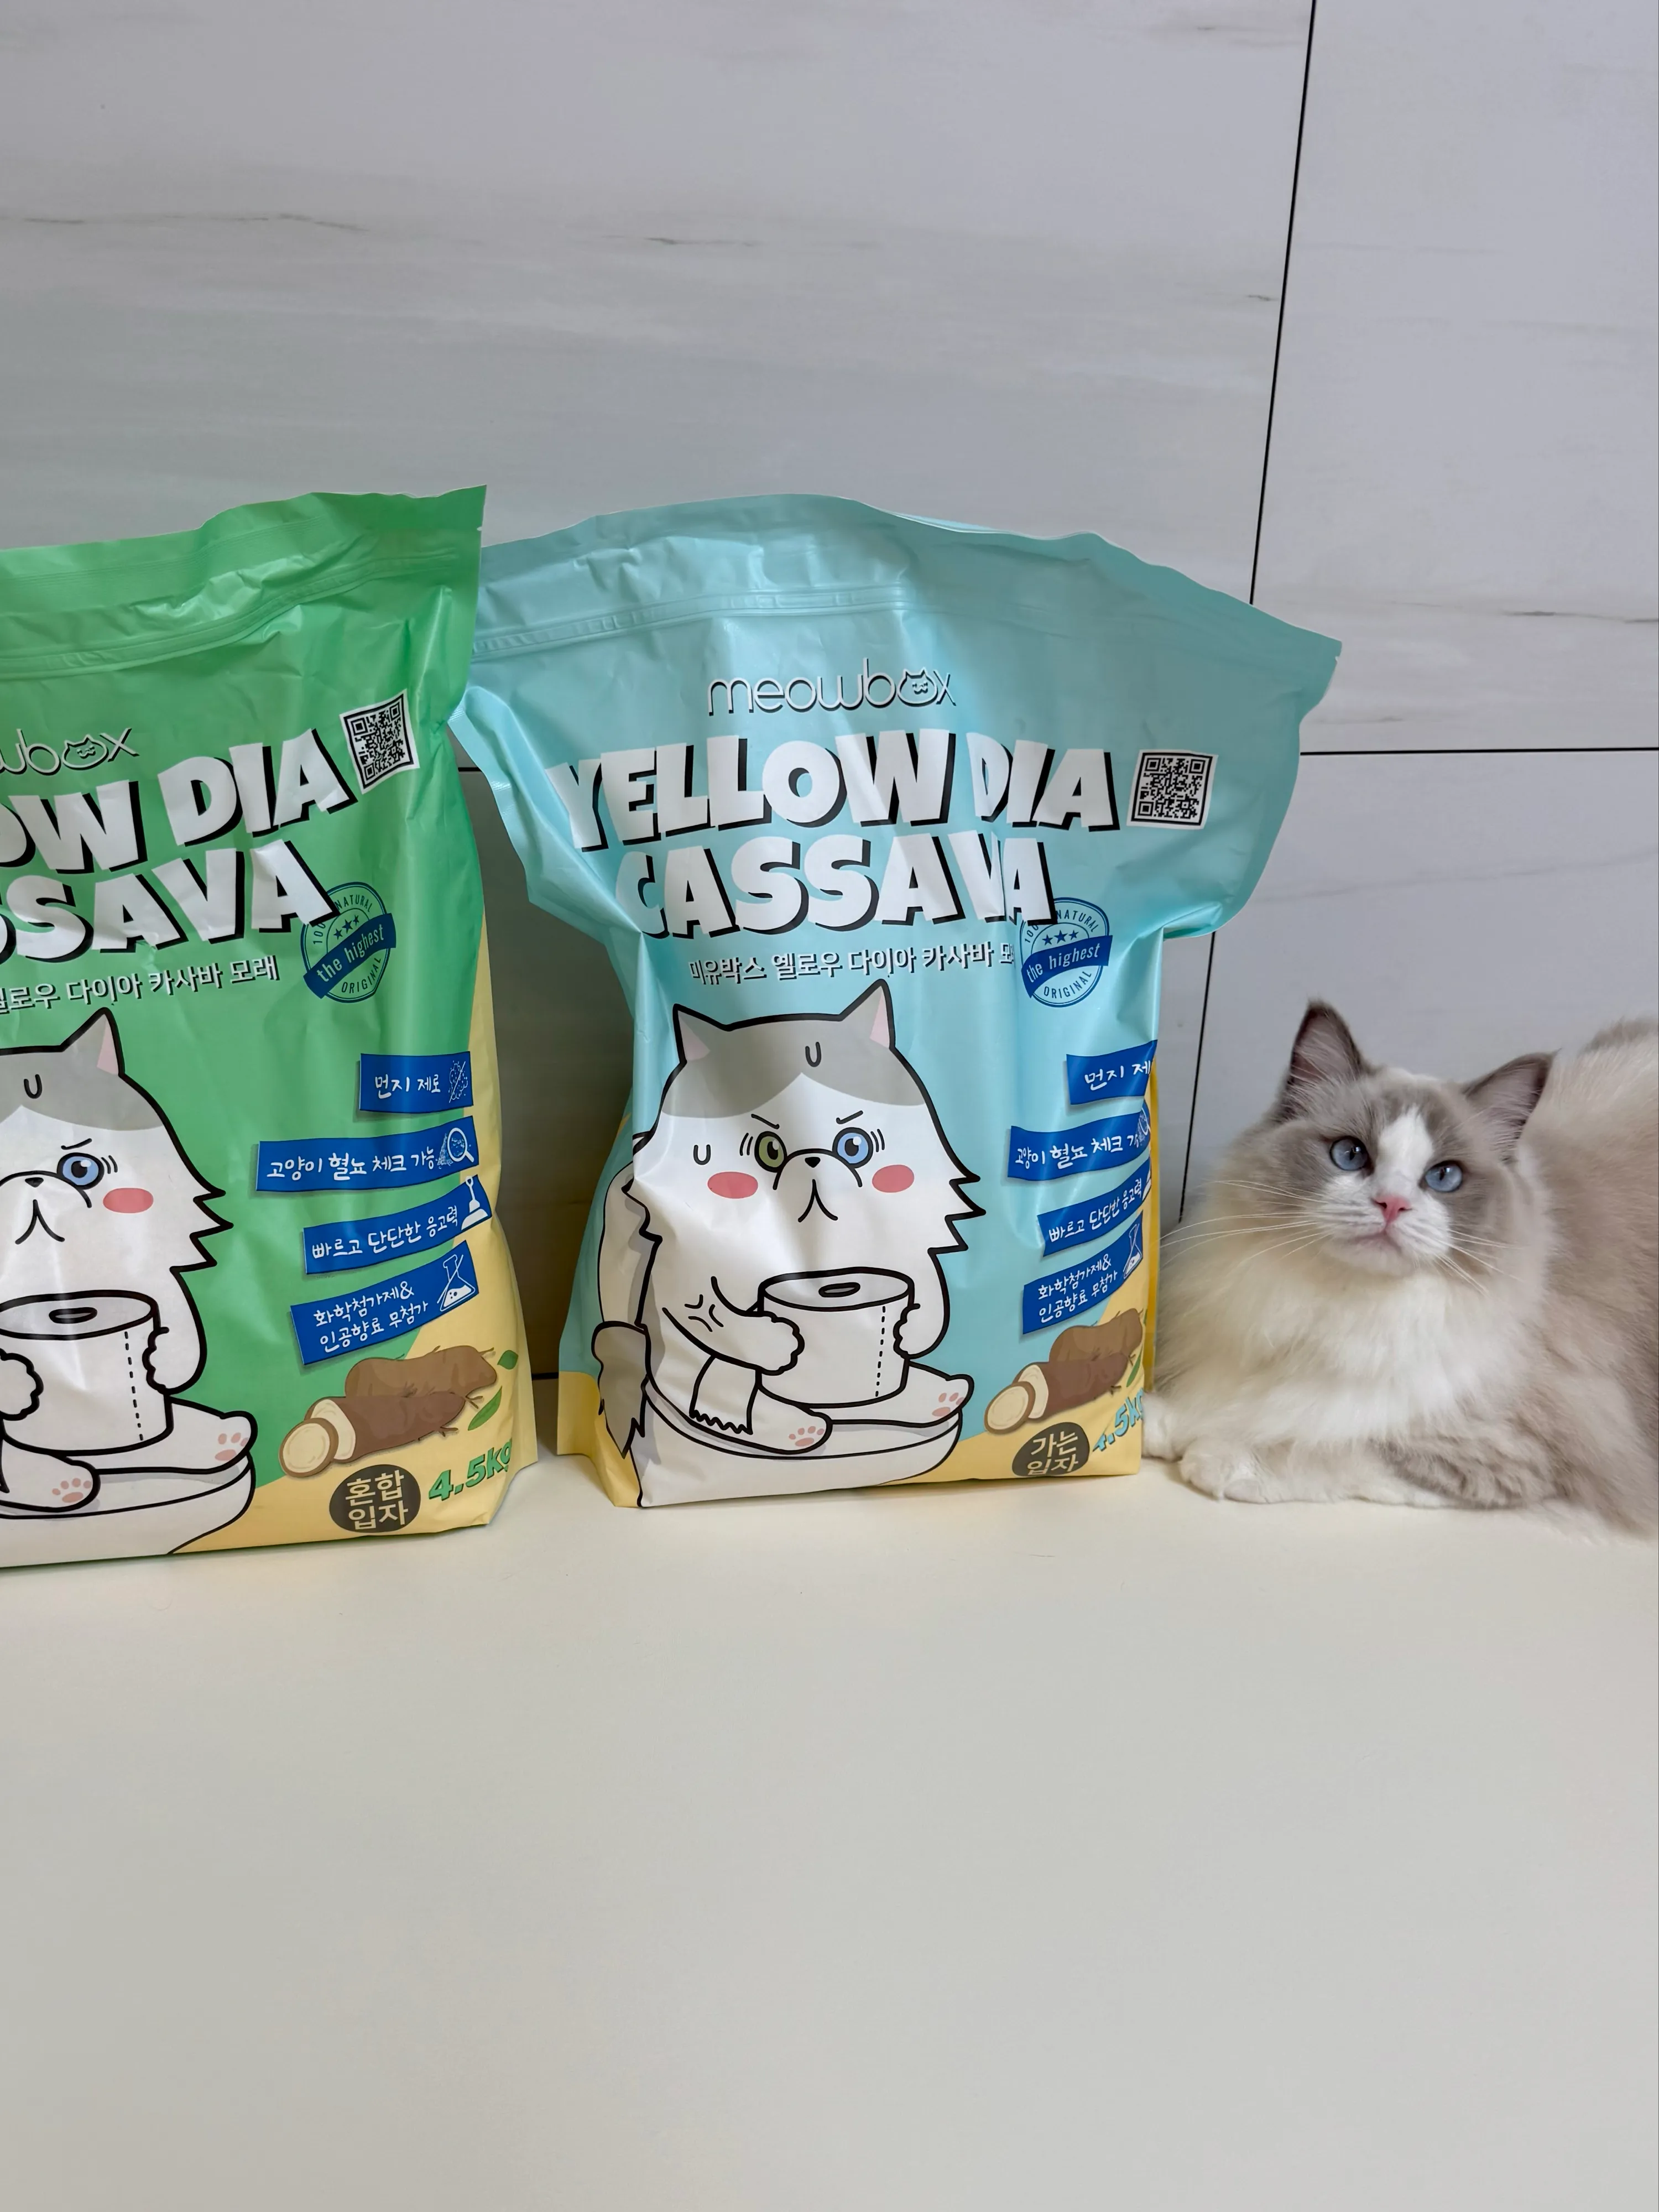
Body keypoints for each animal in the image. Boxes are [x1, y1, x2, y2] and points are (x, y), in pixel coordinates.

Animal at [0, 1010, 254, 1514]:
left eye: (80, 1169)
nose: (31, 1180)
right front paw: (16, 1382)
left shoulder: (156, 1284)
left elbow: (179, 1335)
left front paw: (162, 1358)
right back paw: (59, 1484)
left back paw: (220, 1438)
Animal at [594, 981, 980, 1503]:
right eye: (769, 1152)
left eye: (854, 1146)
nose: (814, 1159)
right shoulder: (689, 1278)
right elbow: (705, 1312)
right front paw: (778, 1342)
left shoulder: (907, 1257)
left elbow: (928, 1294)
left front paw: (910, 1330)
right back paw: (794, 1428)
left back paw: (937, 1395)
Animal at [1144, 1003, 1658, 1528]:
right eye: (1350, 1154)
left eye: (1444, 1176)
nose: (1392, 1204)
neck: (1348, 1307)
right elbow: (1219, 1400)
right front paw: (1144, 1423)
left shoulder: (1506, 1449)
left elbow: (1333, 1445)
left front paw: (1219, 1456)